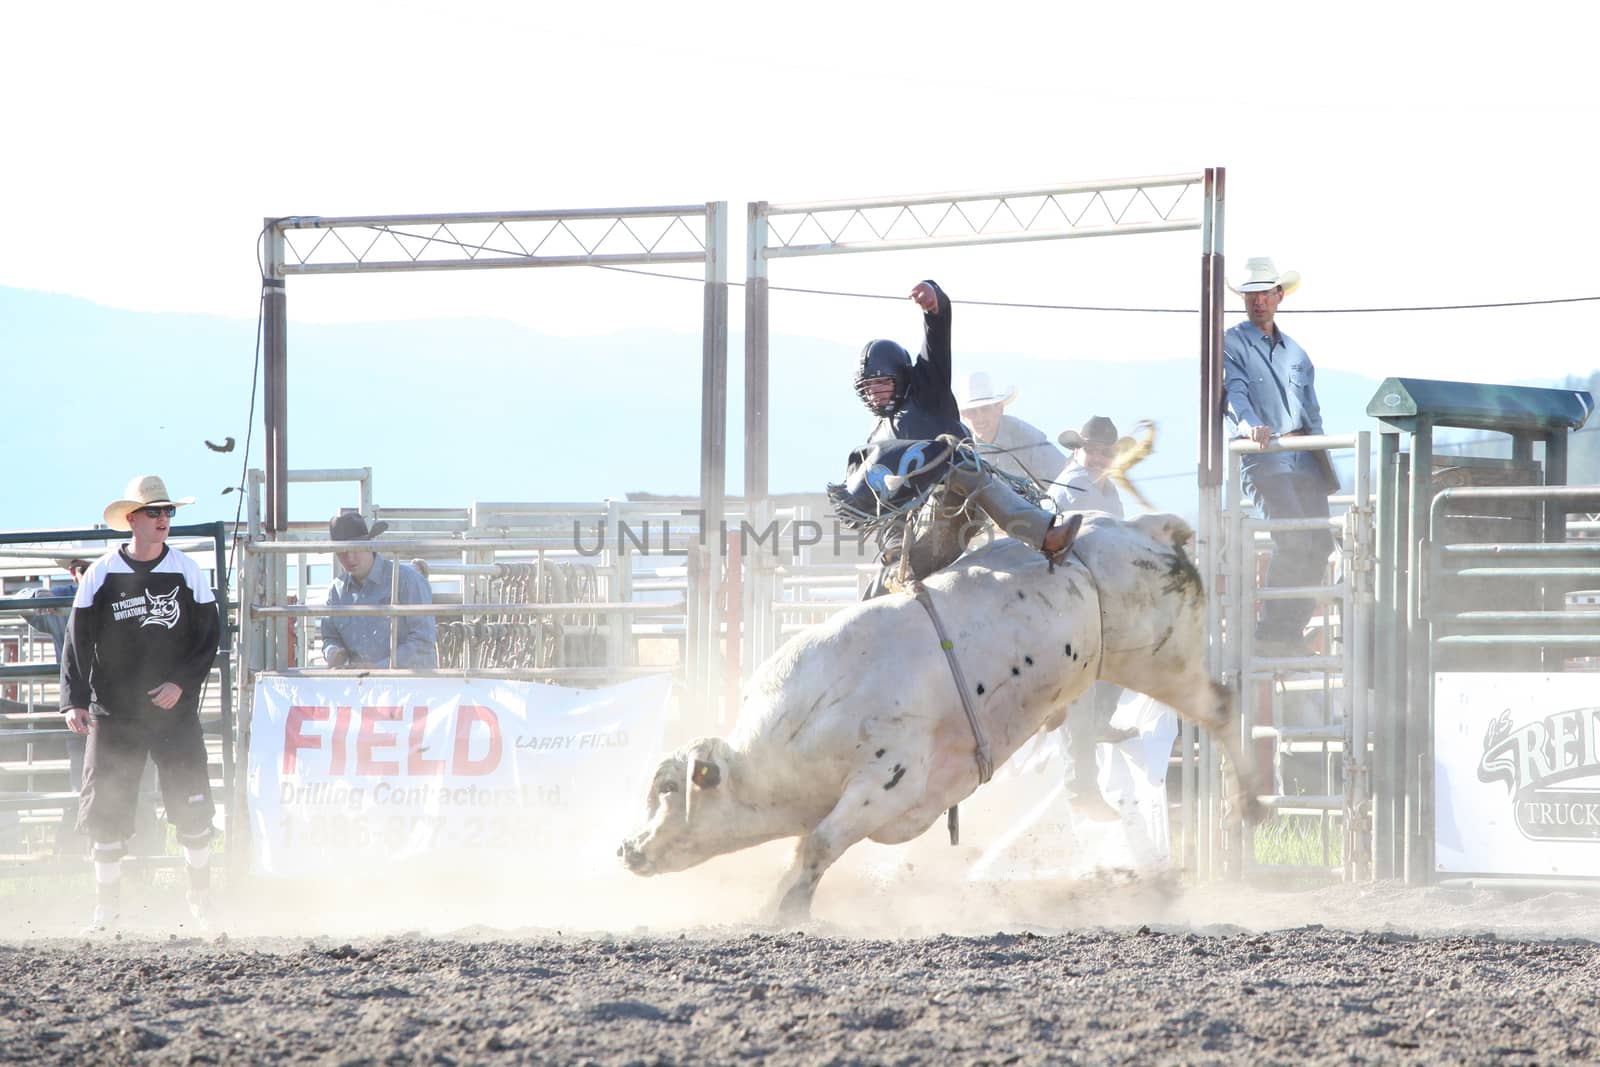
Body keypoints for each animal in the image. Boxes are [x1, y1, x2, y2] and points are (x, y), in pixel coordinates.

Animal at [617, 511, 1254, 921]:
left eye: (669, 789)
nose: (627, 849)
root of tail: (1144, 528)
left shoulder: (889, 780)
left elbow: (818, 844)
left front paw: (780, 909)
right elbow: (809, 844)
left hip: (1160, 661)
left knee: (1222, 707)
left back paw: (1246, 803)